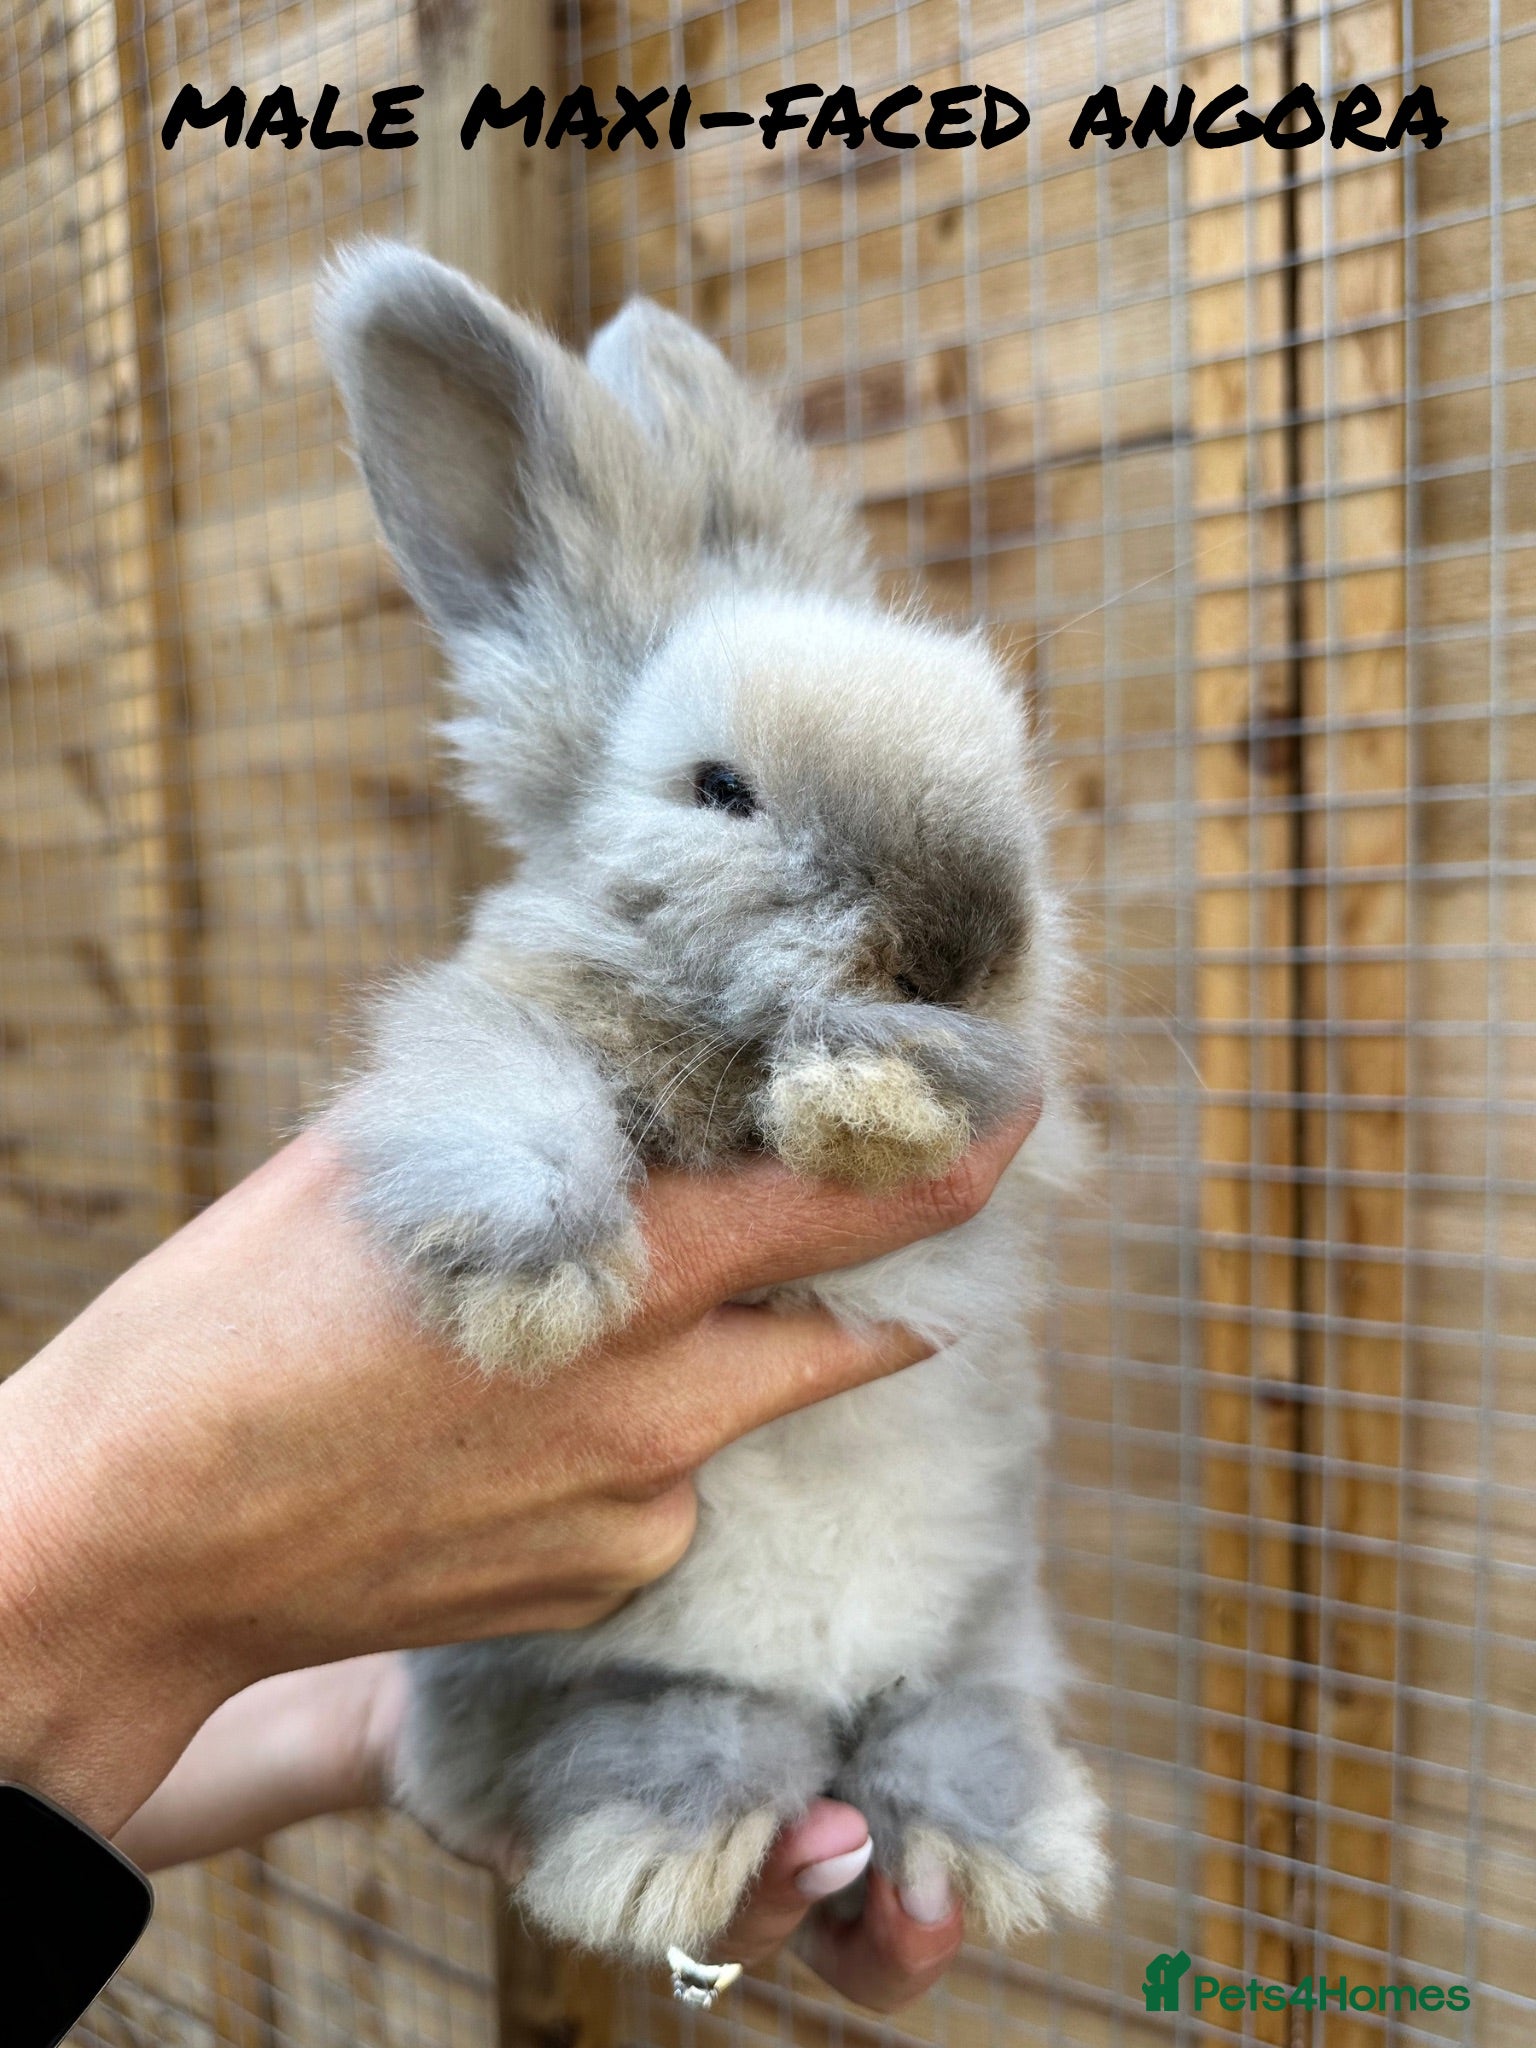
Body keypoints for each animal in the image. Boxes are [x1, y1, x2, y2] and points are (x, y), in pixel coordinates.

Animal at [314, 241, 1109, 1968]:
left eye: (1004, 762)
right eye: (719, 791)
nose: (961, 939)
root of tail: (822, 1693)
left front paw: (876, 1090)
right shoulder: (489, 1028)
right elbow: (499, 1094)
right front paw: (536, 1286)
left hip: (984, 1620)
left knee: (942, 1718)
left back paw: (1000, 1843)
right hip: (575, 1667)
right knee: (676, 1732)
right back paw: (658, 1844)